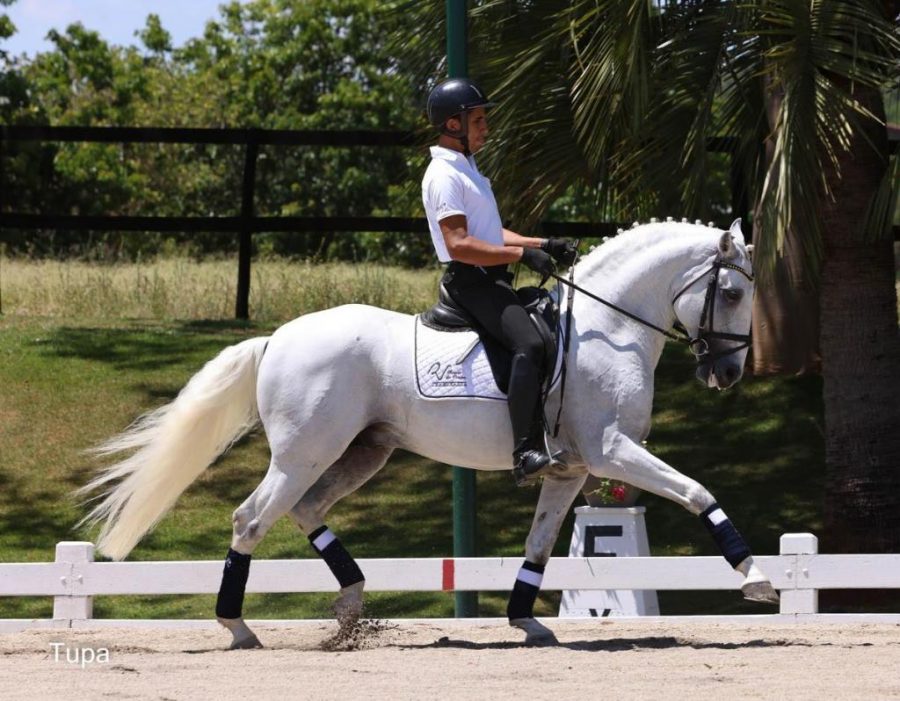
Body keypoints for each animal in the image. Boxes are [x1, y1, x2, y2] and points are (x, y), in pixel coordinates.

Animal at [79, 218, 778, 648]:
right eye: (733, 293)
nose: (727, 373)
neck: (608, 327)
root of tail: (277, 337)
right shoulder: (613, 454)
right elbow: (698, 492)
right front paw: (754, 577)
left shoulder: (573, 469)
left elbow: (539, 545)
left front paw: (526, 623)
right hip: (306, 451)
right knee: (251, 519)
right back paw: (239, 628)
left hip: (365, 451)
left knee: (306, 509)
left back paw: (351, 604)